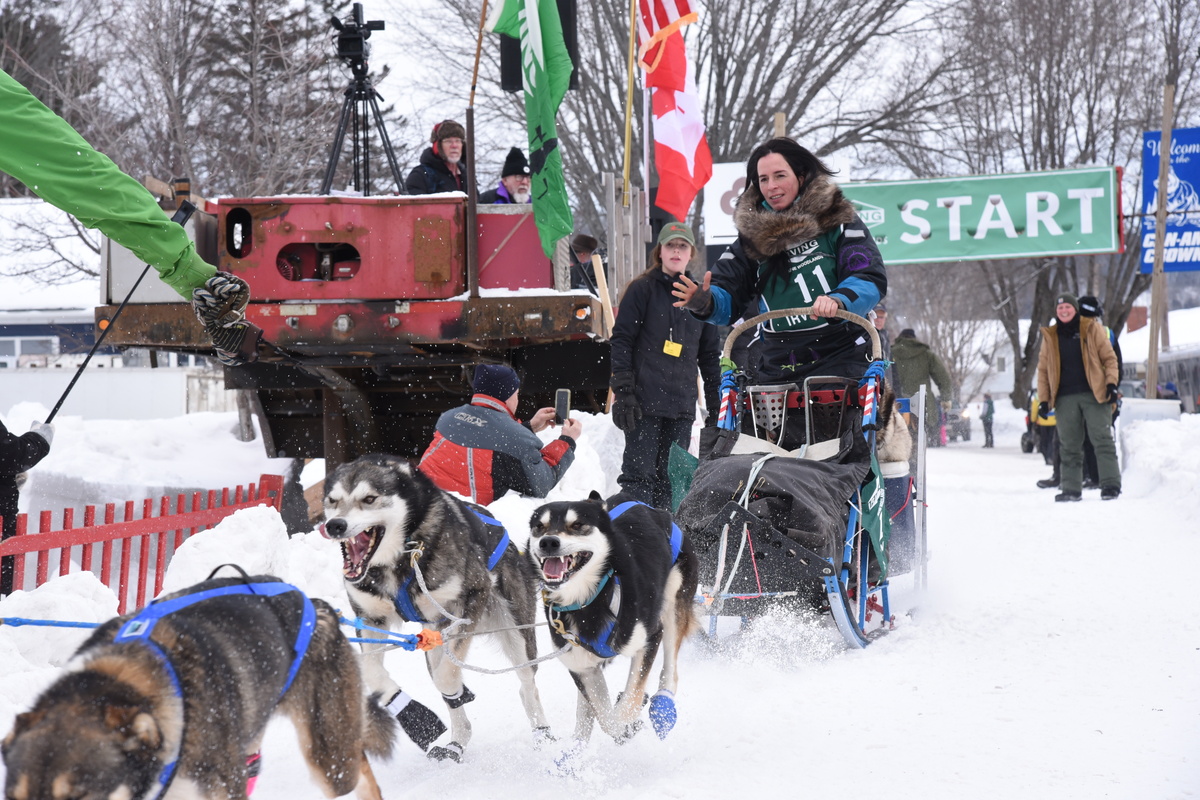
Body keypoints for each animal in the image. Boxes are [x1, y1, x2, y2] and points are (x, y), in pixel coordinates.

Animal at [321, 455, 549, 762]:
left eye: (369, 498)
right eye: (332, 500)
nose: (335, 525)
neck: (401, 559)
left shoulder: (469, 602)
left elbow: (447, 677)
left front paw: (454, 692)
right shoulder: (370, 619)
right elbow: (372, 673)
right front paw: (413, 715)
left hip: (516, 634)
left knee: (527, 686)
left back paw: (542, 733)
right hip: (431, 639)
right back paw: (456, 744)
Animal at [530, 496, 700, 748]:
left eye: (578, 525)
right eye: (539, 527)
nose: (548, 542)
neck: (591, 598)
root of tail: (647, 507)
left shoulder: (649, 638)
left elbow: (631, 697)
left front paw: (629, 719)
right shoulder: (582, 667)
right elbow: (605, 717)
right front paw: (623, 728)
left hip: (673, 600)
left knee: (670, 670)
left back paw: (663, 706)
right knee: (586, 710)